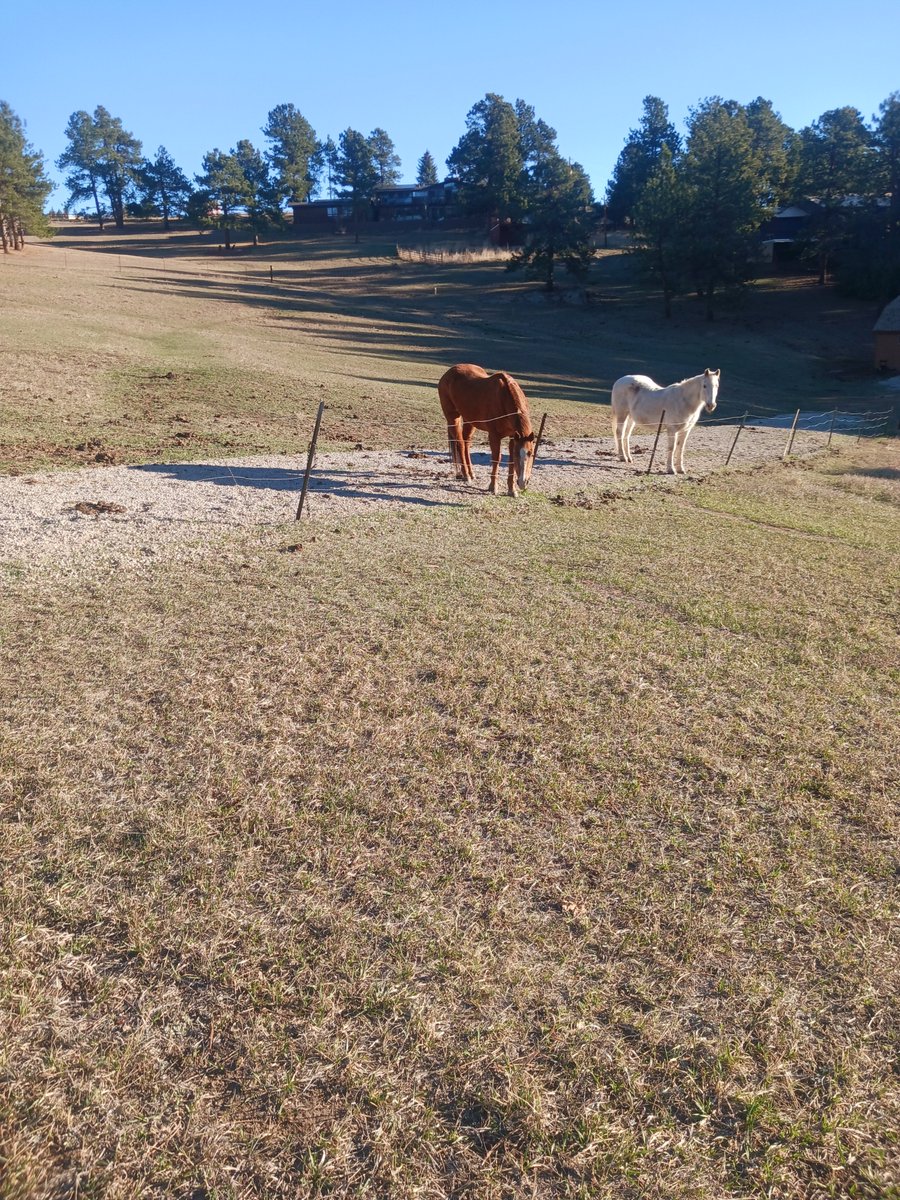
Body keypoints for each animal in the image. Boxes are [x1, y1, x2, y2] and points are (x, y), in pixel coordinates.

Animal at [438, 363, 536, 496]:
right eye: (518, 453)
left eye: (531, 453)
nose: (522, 482)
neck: (503, 397)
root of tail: (449, 372)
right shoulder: (494, 436)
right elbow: (496, 458)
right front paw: (493, 487)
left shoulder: (513, 437)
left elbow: (510, 461)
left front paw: (512, 490)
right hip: (453, 418)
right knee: (460, 444)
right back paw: (466, 475)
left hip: (470, 421)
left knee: (466, 443)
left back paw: (471, 473)